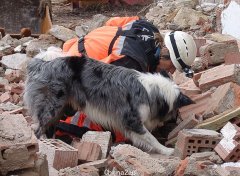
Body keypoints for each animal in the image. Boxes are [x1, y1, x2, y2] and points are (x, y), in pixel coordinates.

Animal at [23, 54, 194, 155]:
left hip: (62, 110)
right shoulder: (131, 121)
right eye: (174, 111)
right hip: (51, 108)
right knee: (38, 130)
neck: (153, 91)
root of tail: (40, 64)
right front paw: (166, 150)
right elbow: (150, 138)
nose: (171, 122)